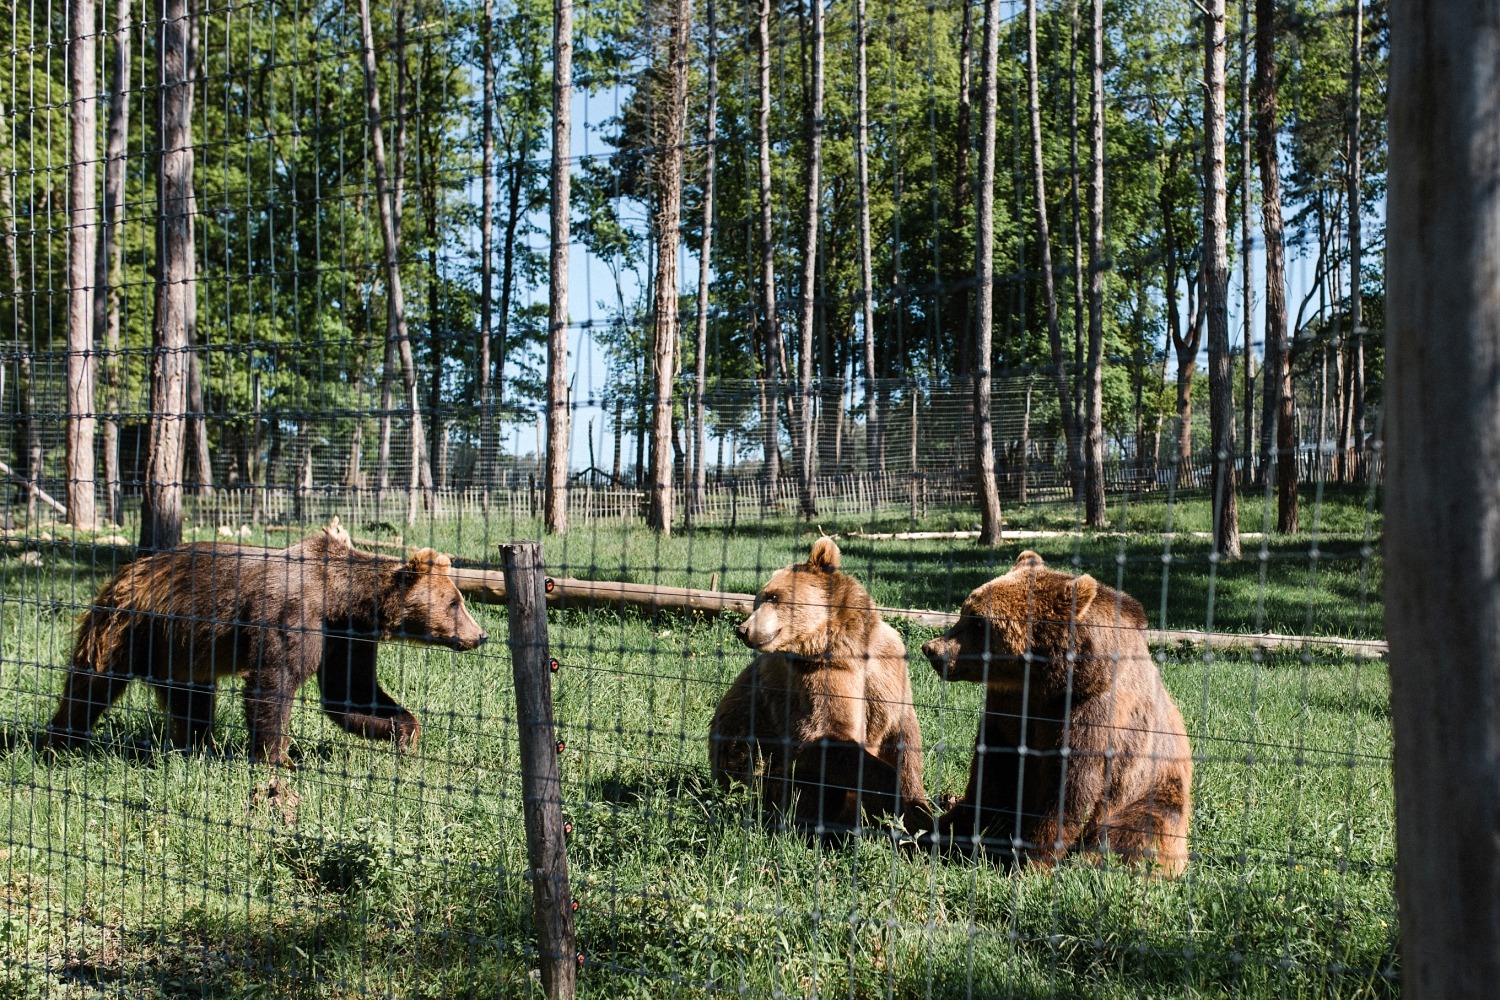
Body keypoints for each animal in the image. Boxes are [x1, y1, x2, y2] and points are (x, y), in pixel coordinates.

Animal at [42, 524, 486, 767]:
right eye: (455, 603)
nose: (479, 635)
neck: (341, 601)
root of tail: (125, 572)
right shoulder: (292, 617)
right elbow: (274, 683)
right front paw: (279, 758)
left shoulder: (346, 638)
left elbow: (351, 693)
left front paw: (407, 735)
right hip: (129, 628)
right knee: (92, 683)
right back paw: (60, 741)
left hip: (180, 648)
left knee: (192, 698)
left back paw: (197, 746)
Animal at [708, 536, 930, 833]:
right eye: (756, 601)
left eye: (773, 596)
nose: (743, 630)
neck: (846, 646)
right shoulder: (816, 679)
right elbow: (824, 733)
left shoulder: (887, 668)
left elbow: (903, 738)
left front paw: (919, 809)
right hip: (763, 778)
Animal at [918, 551, 1188, 869]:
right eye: (965, 612)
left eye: (980, 622)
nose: (932, 649)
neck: (1041, 679)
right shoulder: (1008, 704)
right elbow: (993, 769)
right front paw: (942, 829)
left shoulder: (1088, 709)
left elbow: (1071, 785)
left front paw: (1031, 861)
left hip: (1153, 793)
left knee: (1137, 830)